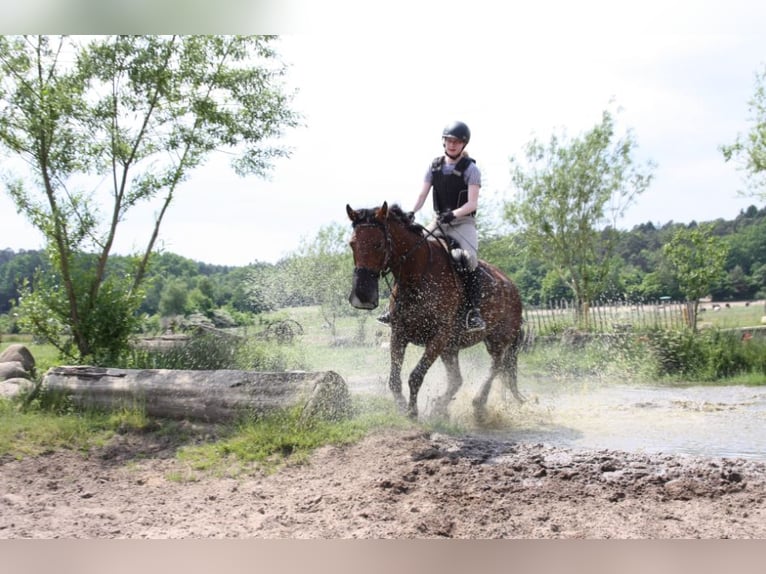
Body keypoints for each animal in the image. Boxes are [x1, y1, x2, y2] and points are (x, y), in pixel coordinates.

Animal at [348, 202, 528, 424]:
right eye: (352, 244)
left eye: (379, 244)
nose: (362, 296)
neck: (417, 276)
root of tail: (513, 286)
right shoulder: (399, 333)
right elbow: (394, 379)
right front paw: (402, 407)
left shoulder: (438, 337)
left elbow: (416, 375)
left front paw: (412, 412)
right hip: (451, 348)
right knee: (458, 379)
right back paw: (440, 408)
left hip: (498, 340)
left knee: (496, 367)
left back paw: (478, 404)